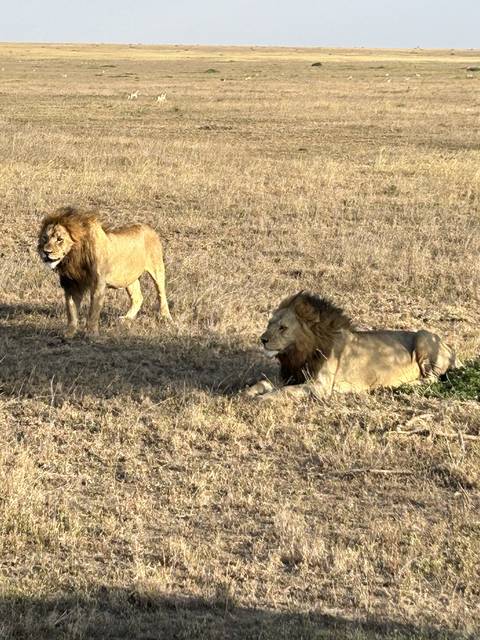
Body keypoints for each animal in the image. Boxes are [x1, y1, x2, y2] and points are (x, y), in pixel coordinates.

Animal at [38, 206, 172, 337]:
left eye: (60, 239)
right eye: (45, 238)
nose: (46, 252)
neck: (73, 258)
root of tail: (148, 227)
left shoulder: (98, 283)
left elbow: (93, 311)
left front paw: (91, 334)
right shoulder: (71, 284)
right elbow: (71, 311)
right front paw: (69, 334)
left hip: (157, 268)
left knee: (161, 293)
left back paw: (166, 317)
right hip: (128, 277)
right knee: (138, 297)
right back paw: (127, 318)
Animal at [245, 291, 461, 401]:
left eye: (283, 328)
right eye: (269, 323)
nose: (262, 339)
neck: (298, 353)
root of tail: (451, 350)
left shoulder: (321, 386)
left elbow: (285, 391)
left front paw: (264, 398)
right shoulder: (291, 375)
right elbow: (263, 382)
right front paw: (248, 392)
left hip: (424, 336)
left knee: (431, 379)